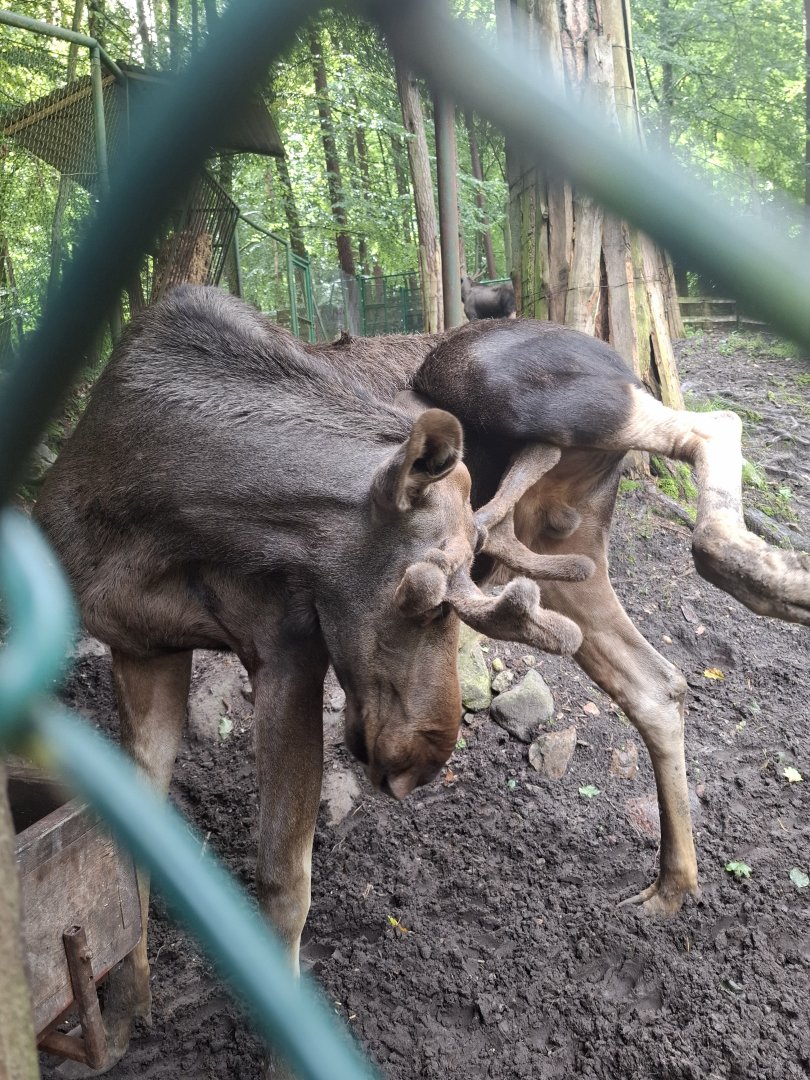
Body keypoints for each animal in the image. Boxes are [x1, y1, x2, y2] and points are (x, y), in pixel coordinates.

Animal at [35, 287, 809, 1074]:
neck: (157, 506)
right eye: (421, 597)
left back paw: (770, 570)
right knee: (658, 684)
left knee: (710, 422)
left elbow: (283, 878)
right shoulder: (138, 645)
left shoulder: (288, 648)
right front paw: (126, 1013)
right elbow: (127, 842)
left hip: (488, 373)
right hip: (566, 551)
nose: (421, 766)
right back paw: (673, 883)